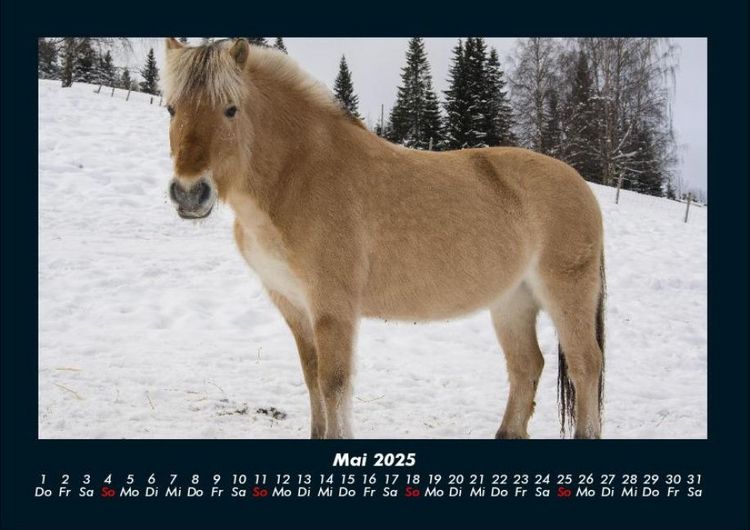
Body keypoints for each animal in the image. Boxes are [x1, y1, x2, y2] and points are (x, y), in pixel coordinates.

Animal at [162, 38, 606, 439]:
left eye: (230, 108)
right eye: (171, 108)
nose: (189, 193)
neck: (301, 176)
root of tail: (580, 185)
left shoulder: (333, 308)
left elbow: (334, 384)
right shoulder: (294, 305)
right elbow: (312, 378)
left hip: (566, 294)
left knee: (586, 364)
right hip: (512, 301)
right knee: (526, 365)